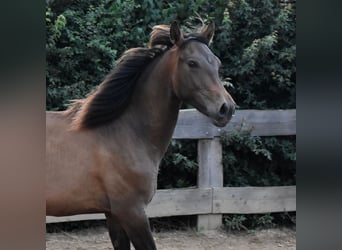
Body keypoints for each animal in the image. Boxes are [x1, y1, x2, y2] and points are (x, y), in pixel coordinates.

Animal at [46, 22, 235, 250]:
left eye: (217, 63)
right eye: (192, 63)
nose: (226, 109)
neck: (125, 134)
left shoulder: (113, 214)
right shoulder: (132, 212)